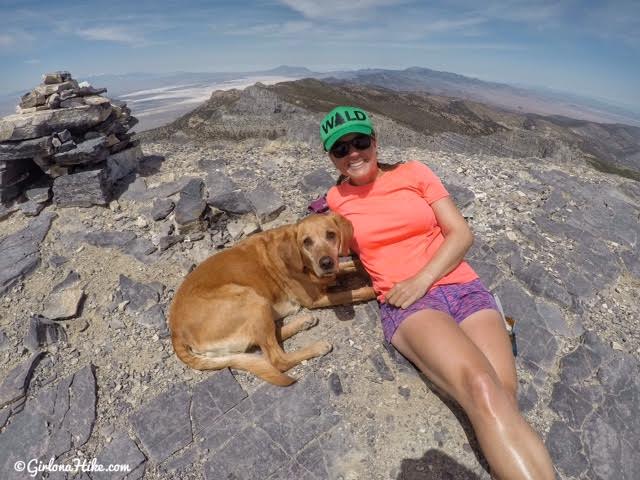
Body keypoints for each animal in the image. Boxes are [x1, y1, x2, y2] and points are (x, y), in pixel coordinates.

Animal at [169, 214, 376, 386]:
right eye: (306, 242)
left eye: (331, 235)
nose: (326, 263)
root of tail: (176, 333)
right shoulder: (315, 299)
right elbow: (357, 293)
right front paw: (376, 289)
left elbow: (352, 266)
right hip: (252, 299)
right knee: (277, 359)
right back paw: (317, 347)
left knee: (266, 338)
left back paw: (303, 322)